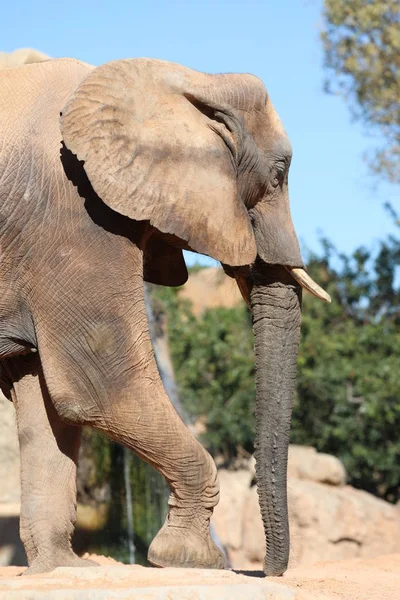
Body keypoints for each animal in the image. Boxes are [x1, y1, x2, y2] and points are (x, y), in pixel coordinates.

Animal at [0, 56, 330, 576]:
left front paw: (65, 570)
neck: (190, 79)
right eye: (279, 175)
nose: (267, 571)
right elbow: (100, 387)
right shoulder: (74, 216)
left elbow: (45, 403)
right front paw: (193, 560)